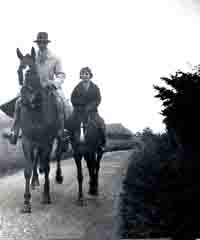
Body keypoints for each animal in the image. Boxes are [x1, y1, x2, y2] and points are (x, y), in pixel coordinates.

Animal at [15, 47, 67, 213]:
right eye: (19, 71)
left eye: (33, 71)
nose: (25, 99)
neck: (36, 111)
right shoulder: (27, 141)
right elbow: (27, 169)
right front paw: (26, 202)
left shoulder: (47, 141)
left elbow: (47, 165)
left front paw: (46, 196)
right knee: (38, 159)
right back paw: (35, 181)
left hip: (57, 138)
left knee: (57, 155)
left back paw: (58, 177)